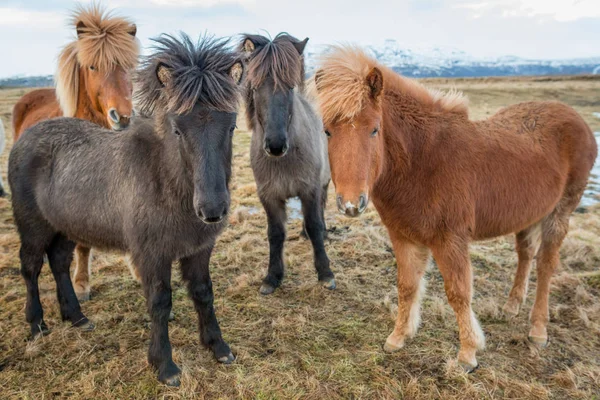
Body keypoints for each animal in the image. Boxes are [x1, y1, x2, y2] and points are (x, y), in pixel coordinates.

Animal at [9, 35, 244, 388]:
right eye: (177, 129)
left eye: (231, 127)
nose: (213, 209)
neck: (166, 181)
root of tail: (25, 137)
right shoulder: (151, 253)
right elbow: (160, 303)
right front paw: (165, 366)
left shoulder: (199, 249)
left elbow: (204, 294)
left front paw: (218, 347)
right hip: (33, 227)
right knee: (31, 267)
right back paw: (37, 325)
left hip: (66, 226)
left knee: (59, 263)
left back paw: (77, 317)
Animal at [239, 34, 336, 296]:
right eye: (254, 87)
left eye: (290, 87)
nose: (275, 145)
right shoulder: (269, 195)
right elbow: (275, 233)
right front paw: (272, 277)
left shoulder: (309, 189)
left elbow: (314, 224)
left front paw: (325, 273)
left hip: (323, 182)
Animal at [312, 46, 596, 372]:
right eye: (327, 131)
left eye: (374, 130)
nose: (350, 204)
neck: (423, 161)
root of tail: (577, 119)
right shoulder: (403, 236)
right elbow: (407, 286)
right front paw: (398, 337)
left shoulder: (450, 240)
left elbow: (458, 293)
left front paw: (467, 354)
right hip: (530, 213)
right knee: (525, 254)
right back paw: (511, 307)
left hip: (560, 212)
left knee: (546, 265)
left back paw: (538, 331)